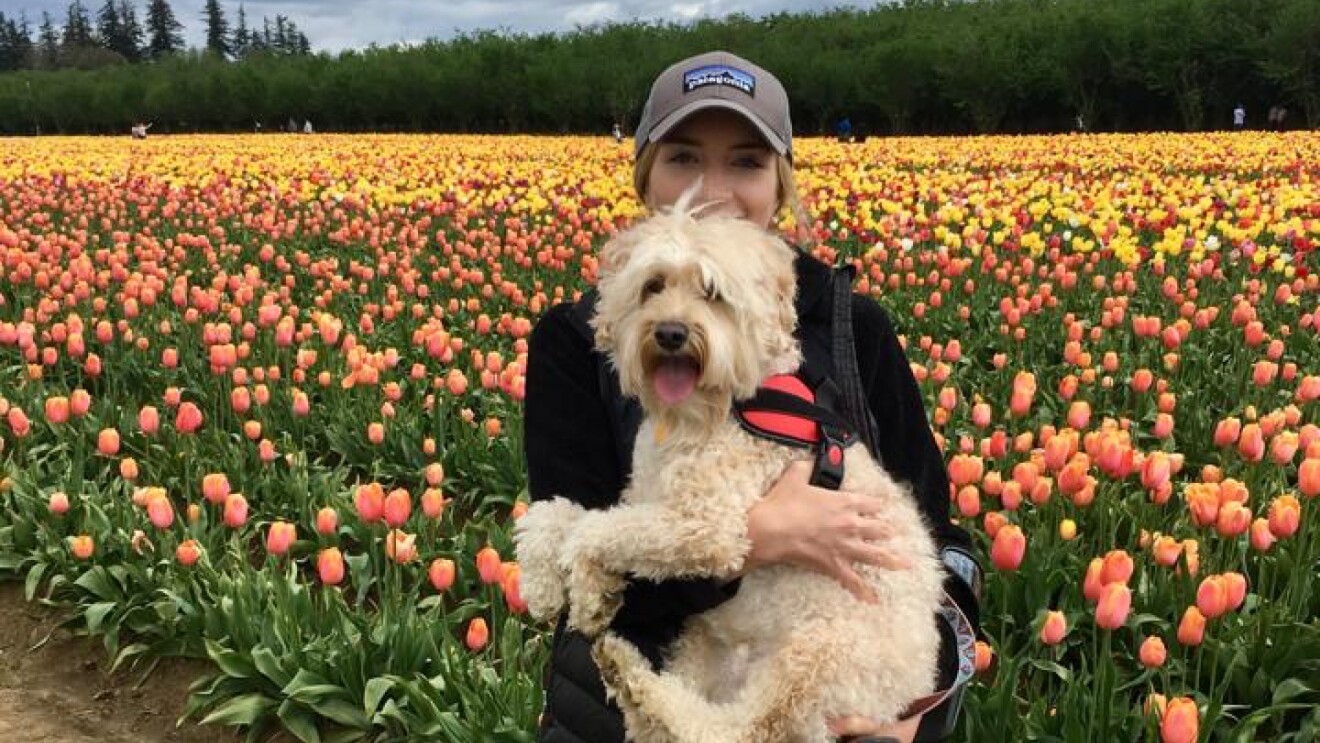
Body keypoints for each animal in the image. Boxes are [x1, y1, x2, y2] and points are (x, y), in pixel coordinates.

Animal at [514, 204, 950, 743]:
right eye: (653, 285)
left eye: (714, 293)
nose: (671, 333)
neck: (715, 410)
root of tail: (908, 693)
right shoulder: (644, 498)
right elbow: (557, 515)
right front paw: (543, 584)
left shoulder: (705, 524)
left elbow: (594, 532)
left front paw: (589, 590)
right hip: (707, 639)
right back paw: (627, 675)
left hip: (818, 656)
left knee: (739, 728)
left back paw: (634, 681)